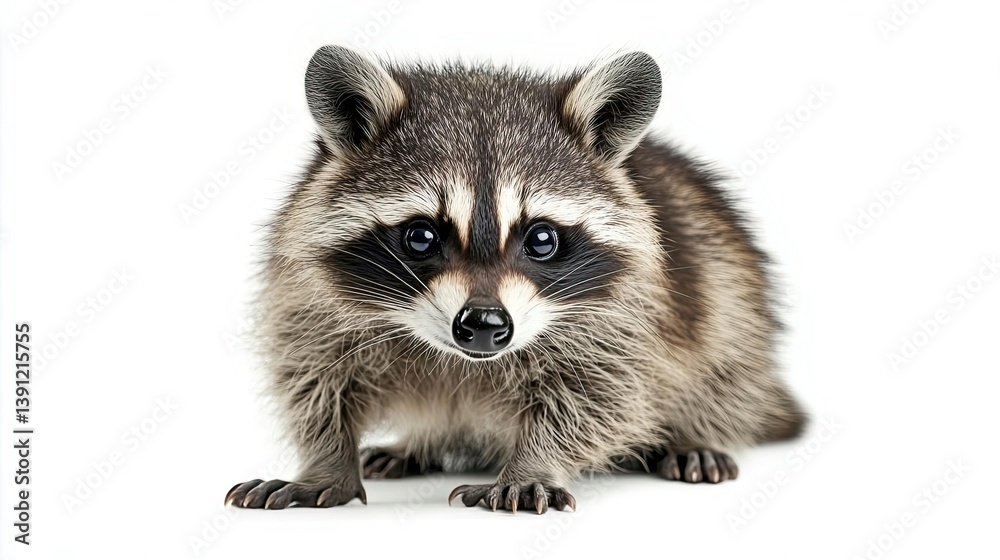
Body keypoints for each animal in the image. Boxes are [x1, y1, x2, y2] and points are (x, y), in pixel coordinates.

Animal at [225, 46, 805, 514]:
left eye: (541, 239)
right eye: (420, 237)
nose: (484, 323)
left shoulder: (623, 316)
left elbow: (599, 395)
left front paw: (533, 464)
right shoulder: (309, 296)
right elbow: (313, 380)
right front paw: (325, 461)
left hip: (730, 293)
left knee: (723, 356)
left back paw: (695, 436)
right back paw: (418, 444)